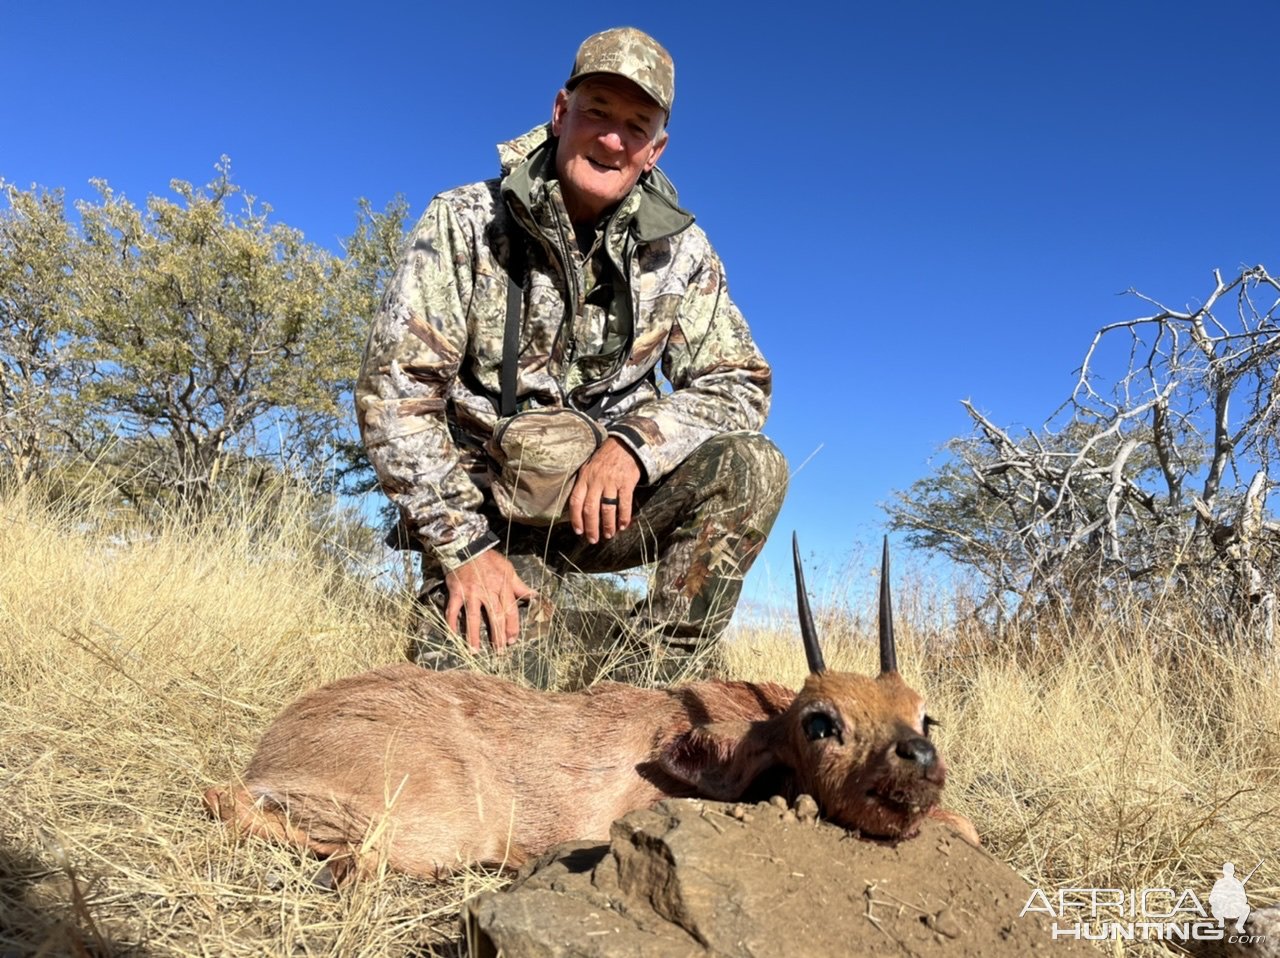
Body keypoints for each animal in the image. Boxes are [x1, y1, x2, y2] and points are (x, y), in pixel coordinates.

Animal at [204, 535, 972, 881]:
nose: (918, 758)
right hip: (414, 829)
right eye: (821, 722)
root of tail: (278, 743)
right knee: (234, 806)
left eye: (925, 715)